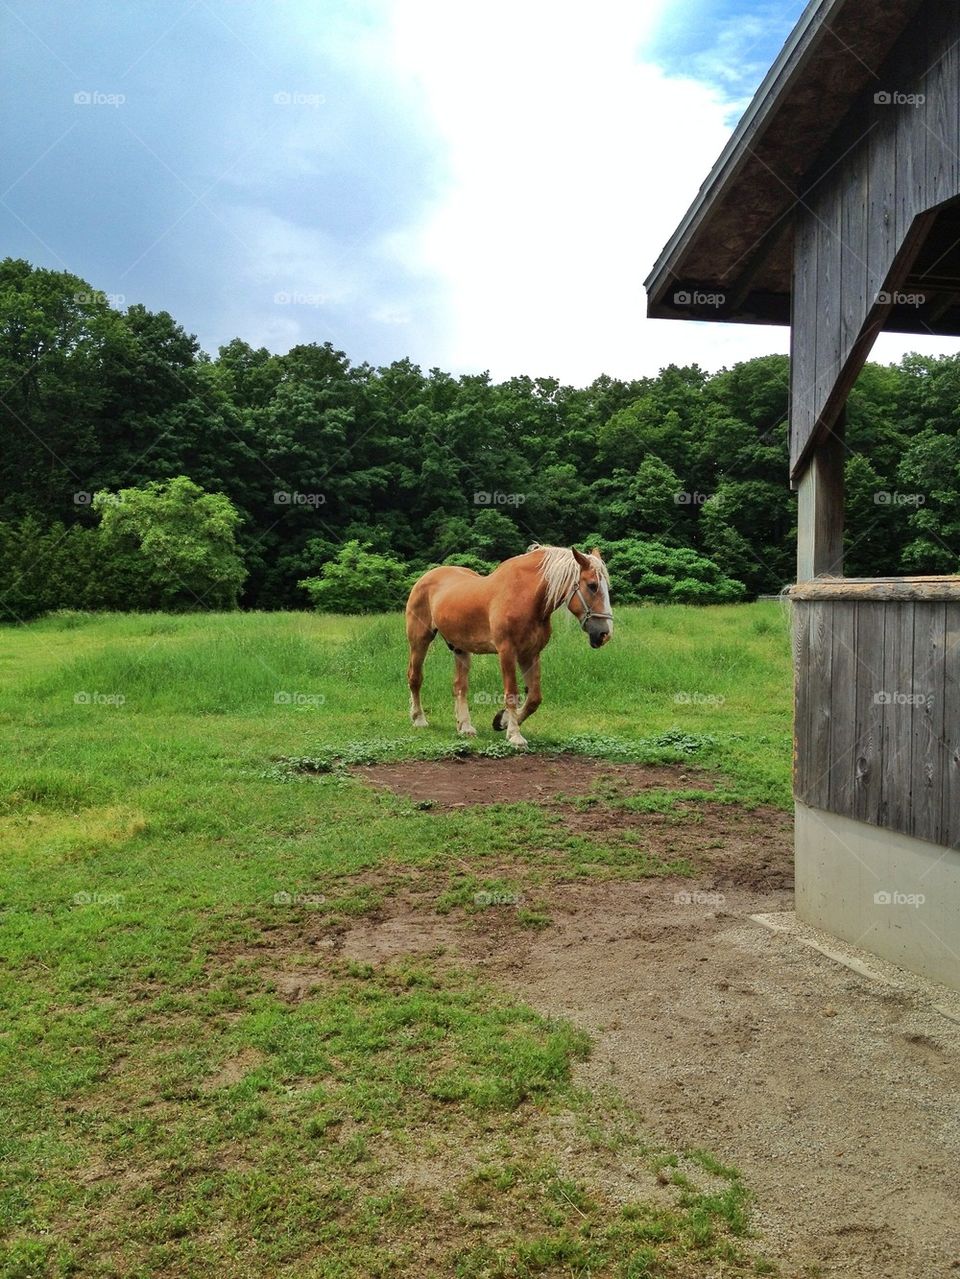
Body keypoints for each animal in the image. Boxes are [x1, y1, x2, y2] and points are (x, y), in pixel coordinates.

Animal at [406, 542, 616, 746]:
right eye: (592, 585)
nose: (604, 634)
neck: (525, 597)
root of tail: (426, 577)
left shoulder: (530, 654)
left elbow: (534, 698)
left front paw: (502, 721)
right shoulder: (507, 652)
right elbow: (512, 693)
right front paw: (515, 735)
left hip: (460, 648)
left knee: (460, 686)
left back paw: (465, 727)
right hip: (419, 640)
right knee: (415, 677)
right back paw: (419, 719)